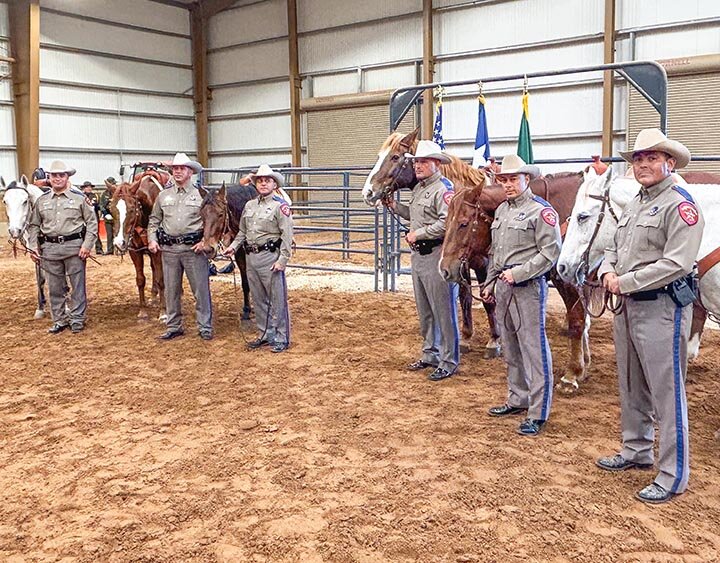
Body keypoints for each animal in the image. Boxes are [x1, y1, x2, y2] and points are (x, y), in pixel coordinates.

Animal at [1, 174, 49, 320]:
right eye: (5, 201)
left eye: (25, 201)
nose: (14, 230)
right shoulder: (34, 250)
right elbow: (40, 277)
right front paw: (40, 307)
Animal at [108, 174, 166, 322]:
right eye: (112, 209)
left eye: (131, 209)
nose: (119, 243)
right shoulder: (135, 251)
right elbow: (140, 280)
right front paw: (143, 312)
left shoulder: (158, 252)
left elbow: (161, 279)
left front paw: (163, 312)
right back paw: (153, 296)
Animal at [201, 184, 258, 320]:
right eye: (201, 215)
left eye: (221, 214)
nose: (208, 249)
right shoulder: (240, 254)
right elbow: (245, 282)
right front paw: (247, 309)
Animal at [362, 129, 504, 356]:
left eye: (395, 157)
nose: (368, 192)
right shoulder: (458, 264)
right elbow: (465, 296)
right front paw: (466, 338)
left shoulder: (483, 264)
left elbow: (488, 299)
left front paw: (494, 341)